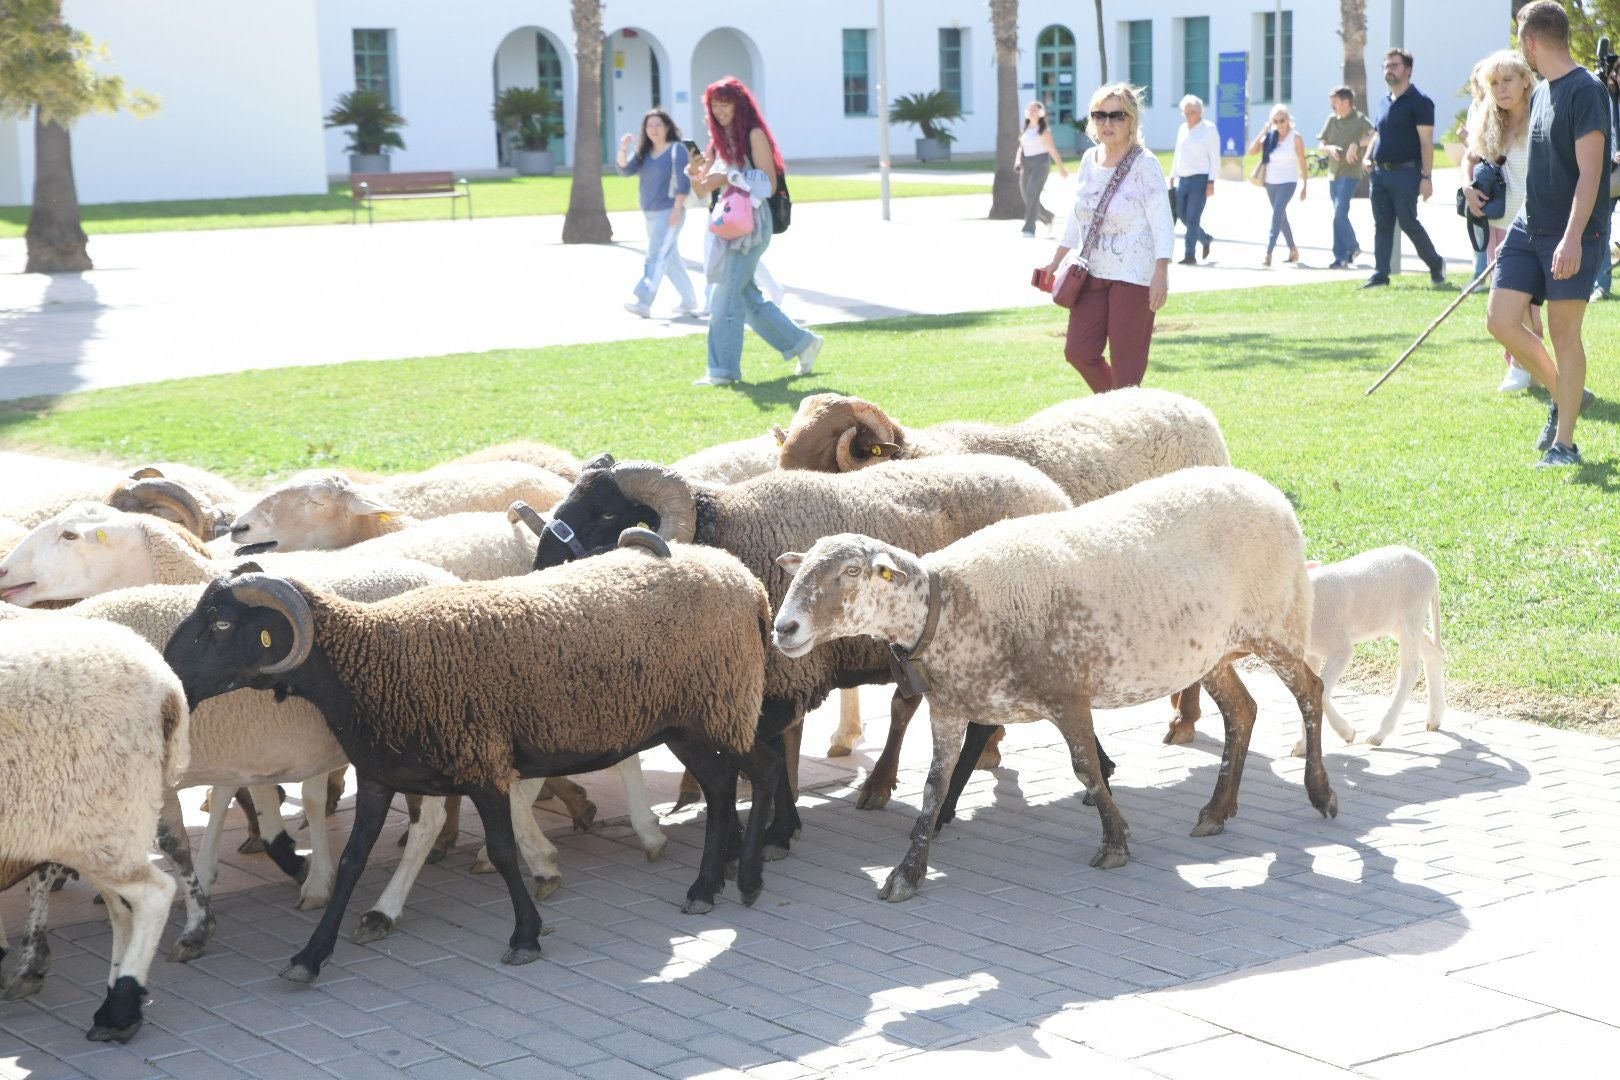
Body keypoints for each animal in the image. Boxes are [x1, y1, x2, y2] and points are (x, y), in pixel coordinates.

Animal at [0, 612, 189, 1042]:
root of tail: (167, 682)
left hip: (108, 817)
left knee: (153, 895)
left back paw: (119, 1011)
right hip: (86, 829)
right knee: (123, 909)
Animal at [160, 535, 778, 984]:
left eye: (221, 623)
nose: (167, 671)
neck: (373, 660)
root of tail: (745, 581)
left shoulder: (483, 765)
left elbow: (504, 852)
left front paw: (526, 935)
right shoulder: (381, 775)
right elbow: (354, 861)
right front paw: (311, 955)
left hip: (716, 704)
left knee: (748, 775)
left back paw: (729, 882)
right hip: (698, 716)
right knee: (734, 782)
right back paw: (723, 882)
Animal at [533, 452, 1083, 830]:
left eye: (607, 514)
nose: (540, 566)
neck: (736, 532)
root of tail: (1050, 487)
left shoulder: (787, 671)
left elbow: (777, 745)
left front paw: (780, 820)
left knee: (913, 709)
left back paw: (892, 784)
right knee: (912, 706)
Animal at [771, 466, 1339, 903]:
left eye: (850, 571)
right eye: (801, 573)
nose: (784, 628)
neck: (950, 604)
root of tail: (1265, 488)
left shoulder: (1068, 695)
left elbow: (1087, 767)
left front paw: (1115, 843)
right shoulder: (951, 708)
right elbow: (934, 787)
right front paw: (907, 873)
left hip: (1277, 623)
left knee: (1309, 692)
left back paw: (1321, 794)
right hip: (1212, 649)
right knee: (1242, 711)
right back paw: (1216, 812)